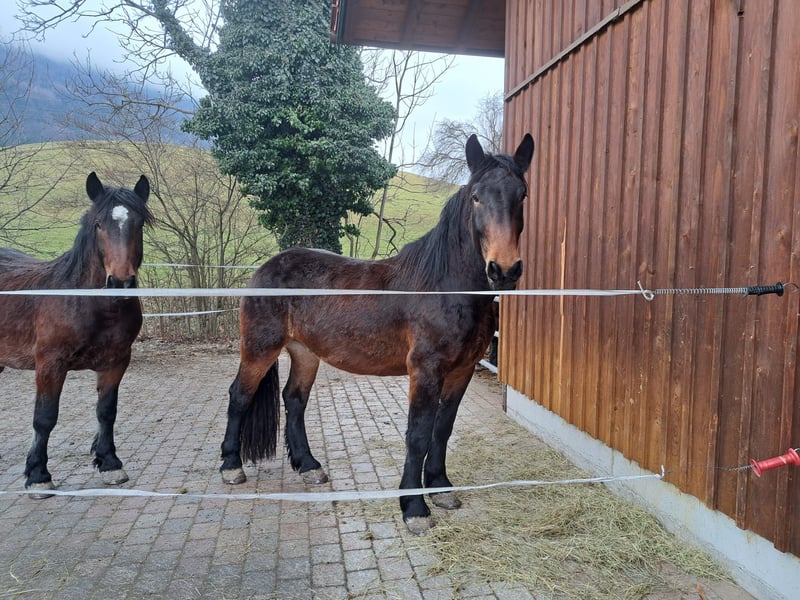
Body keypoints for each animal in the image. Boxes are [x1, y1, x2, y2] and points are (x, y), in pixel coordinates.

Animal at [0, 172, 152, 498]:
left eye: (139, 224)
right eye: (98, 224)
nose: (121, 282)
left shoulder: (116, 361)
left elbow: (106, 411)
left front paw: (110, 464)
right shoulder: (50, 365)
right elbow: (44, 418)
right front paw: (38, 475)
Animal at [220, 134, 534, 534]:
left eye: (522, 194)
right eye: (476, 196)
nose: (504, 269)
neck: (445, 286)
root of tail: (265, 269)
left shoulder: (461, 371)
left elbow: (443, 429)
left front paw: (440, 487)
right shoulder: (425, 371)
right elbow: (418, 434)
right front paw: (414, 507)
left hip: (305, 353)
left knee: (294, 400)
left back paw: (309, 466)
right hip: (260, 349)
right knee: (240, 396)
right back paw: (231, 467)